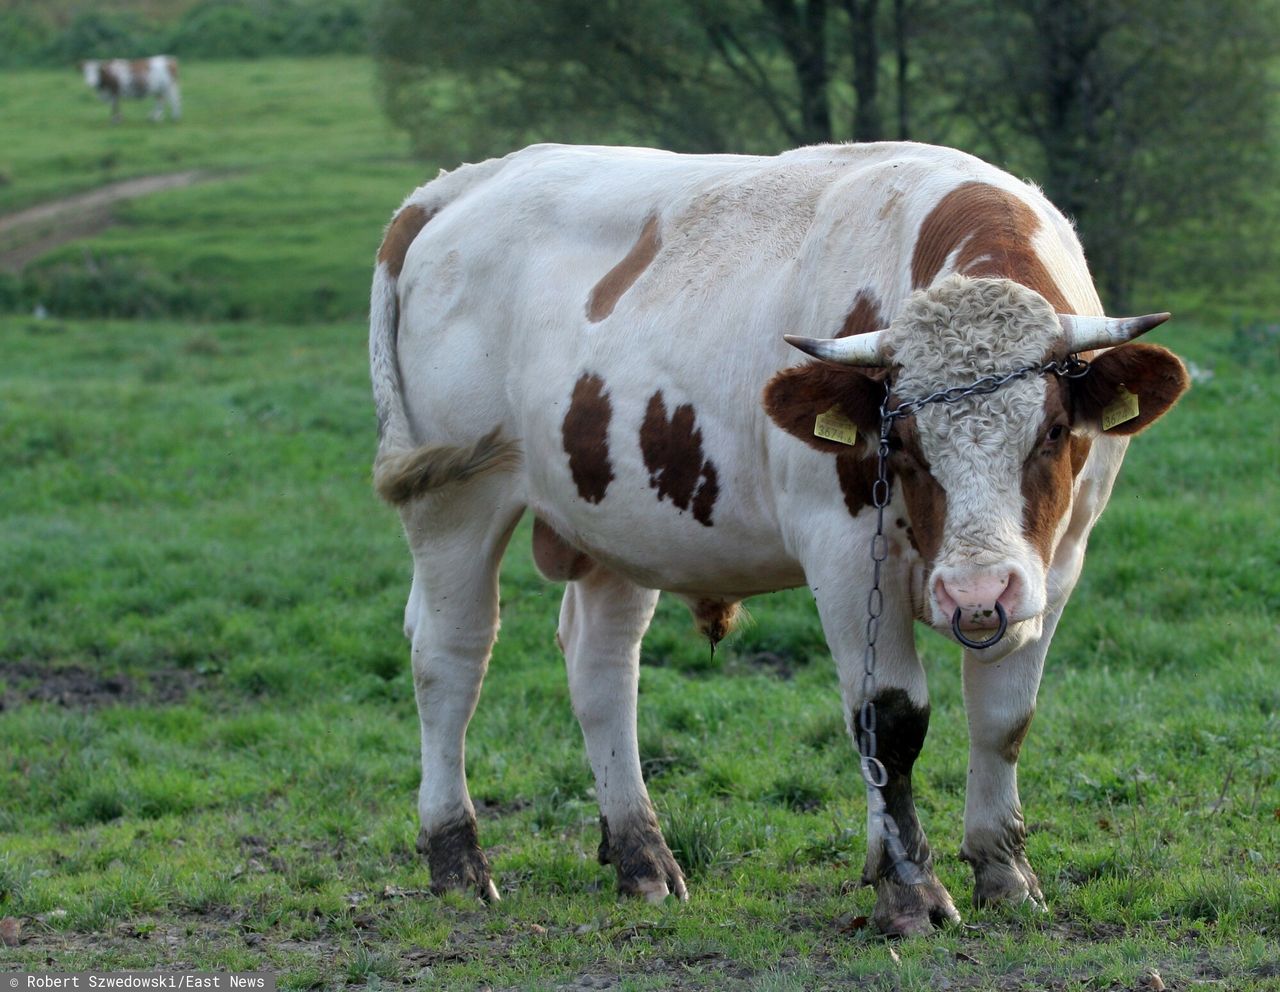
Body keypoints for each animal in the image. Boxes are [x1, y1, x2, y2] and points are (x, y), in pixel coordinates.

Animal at [366, 143, 1182, 936]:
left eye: (1053, 431)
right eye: (905, 443)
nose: (974, 591)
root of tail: (465, 182)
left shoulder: (1057, 562)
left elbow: (1005, 717)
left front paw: (1005, 874)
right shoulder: (844, 553)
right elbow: (888, 720)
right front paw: (908, 892)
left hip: (615, 520)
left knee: (602, 667)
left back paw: (642, 857)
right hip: (454, 500)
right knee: (450, 658)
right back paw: (458, 859)